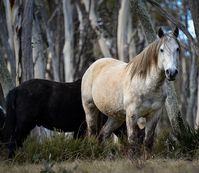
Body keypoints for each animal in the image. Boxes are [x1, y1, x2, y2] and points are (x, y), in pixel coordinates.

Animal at [81, 27, 180, 159]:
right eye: (161, 50)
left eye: (177, 48)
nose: (171, 72)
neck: (147, 85)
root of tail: (93, 65)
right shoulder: (132, 114)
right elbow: (133, 139)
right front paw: (133, 159)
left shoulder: (154, 114)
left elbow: (148, 140)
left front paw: (147, 159)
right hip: (90, 108)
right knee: (92, 133)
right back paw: (94, 155)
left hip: (115, 117)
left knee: (103, 134)